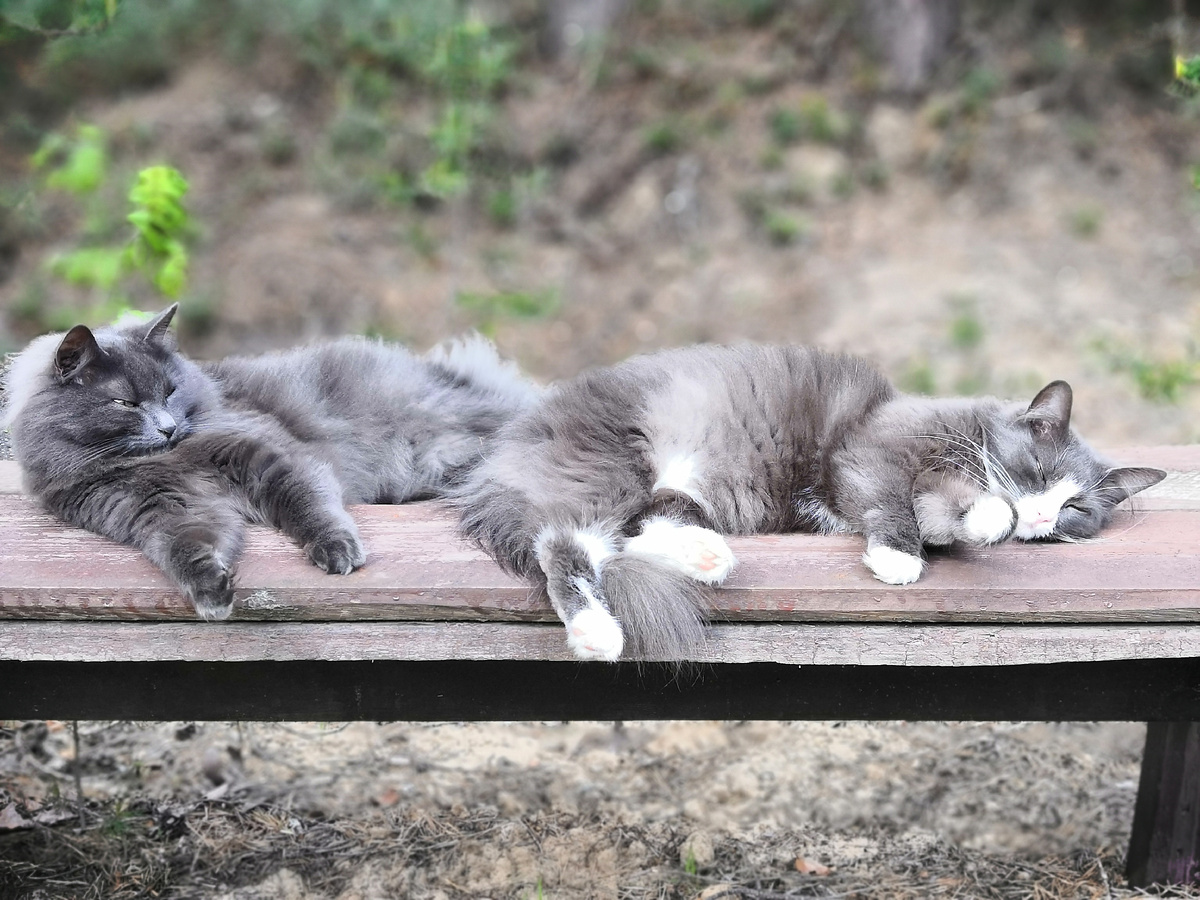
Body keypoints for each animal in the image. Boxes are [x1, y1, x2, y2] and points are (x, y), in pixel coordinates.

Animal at [3, 307, 540, 624]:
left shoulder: (268, 457)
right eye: (125, 403)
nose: (168, 428)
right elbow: (186, 548)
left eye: (170, 392)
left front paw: (337, 551)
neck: (172, 461)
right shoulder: (157, 511)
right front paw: (213, 592)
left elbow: (309, 506)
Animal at [453, 343, 1166, 662]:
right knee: (563, 542)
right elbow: (896, 503)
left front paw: (980, 521)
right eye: (1039, 468)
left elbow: (968, 513)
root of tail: (506, 451)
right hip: (617, 467)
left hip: (667, 493)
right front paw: (898, 560)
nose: (1046, 514)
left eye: (1077, 510)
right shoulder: (871, 450)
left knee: (635, 531)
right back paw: (596, 631)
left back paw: (709, 558)